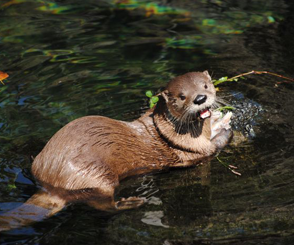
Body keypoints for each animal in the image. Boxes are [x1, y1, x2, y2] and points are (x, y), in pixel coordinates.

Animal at [1, 70, 233, 230]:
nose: (200, 98)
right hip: (97, 177)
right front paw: (224, 129)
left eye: (206, 85)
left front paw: (221, 119)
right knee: (103, 205)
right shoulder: (194, 150)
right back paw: (131, 203)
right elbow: (214, 146)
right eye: (182, 96)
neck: (177, 132)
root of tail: (51, 181)